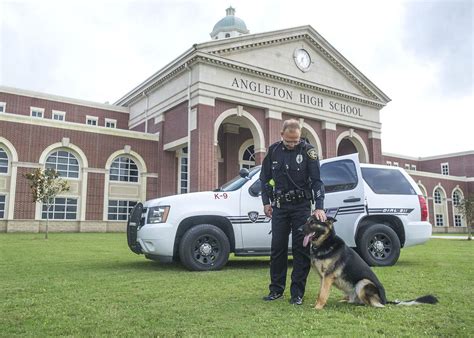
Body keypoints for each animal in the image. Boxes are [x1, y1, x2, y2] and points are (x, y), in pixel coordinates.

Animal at [300, 217, 436, 308]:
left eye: (313, 222)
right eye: (307, 221)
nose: (299, 229)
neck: (325, 243)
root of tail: (385, 300)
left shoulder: (328, 277)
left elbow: (322, 294)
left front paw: (318, 307)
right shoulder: (323, 278)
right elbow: (320, 292)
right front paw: (317, 304)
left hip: (363, 282)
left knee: (375, 305)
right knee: (355, 300)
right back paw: (345, 301)